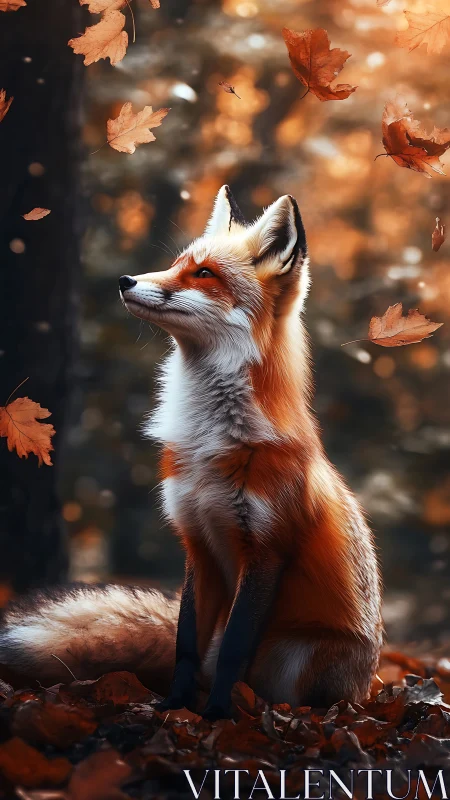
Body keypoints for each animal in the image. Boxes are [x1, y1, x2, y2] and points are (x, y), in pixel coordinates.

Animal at [0, 187, 382, 719]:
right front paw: (176, 707)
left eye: (204, 274)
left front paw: (217, 714)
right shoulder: (196, 540)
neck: (210, 444)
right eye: (175, 264)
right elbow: (185, 644)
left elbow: (234, 652)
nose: (125, 280)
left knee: (273, 687)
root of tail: (364, 687)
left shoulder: (266, 551)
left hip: (296, 656)